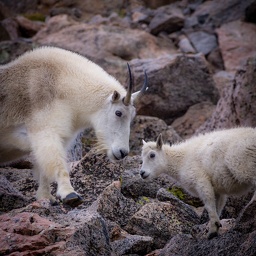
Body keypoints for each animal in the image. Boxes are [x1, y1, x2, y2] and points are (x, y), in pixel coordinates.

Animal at [0, 45, 148, 206]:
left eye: (132, 116)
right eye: (118, 113)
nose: (122, 152)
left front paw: (46, 197)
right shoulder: (44, 130)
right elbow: (56, 162)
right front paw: (69, 194)